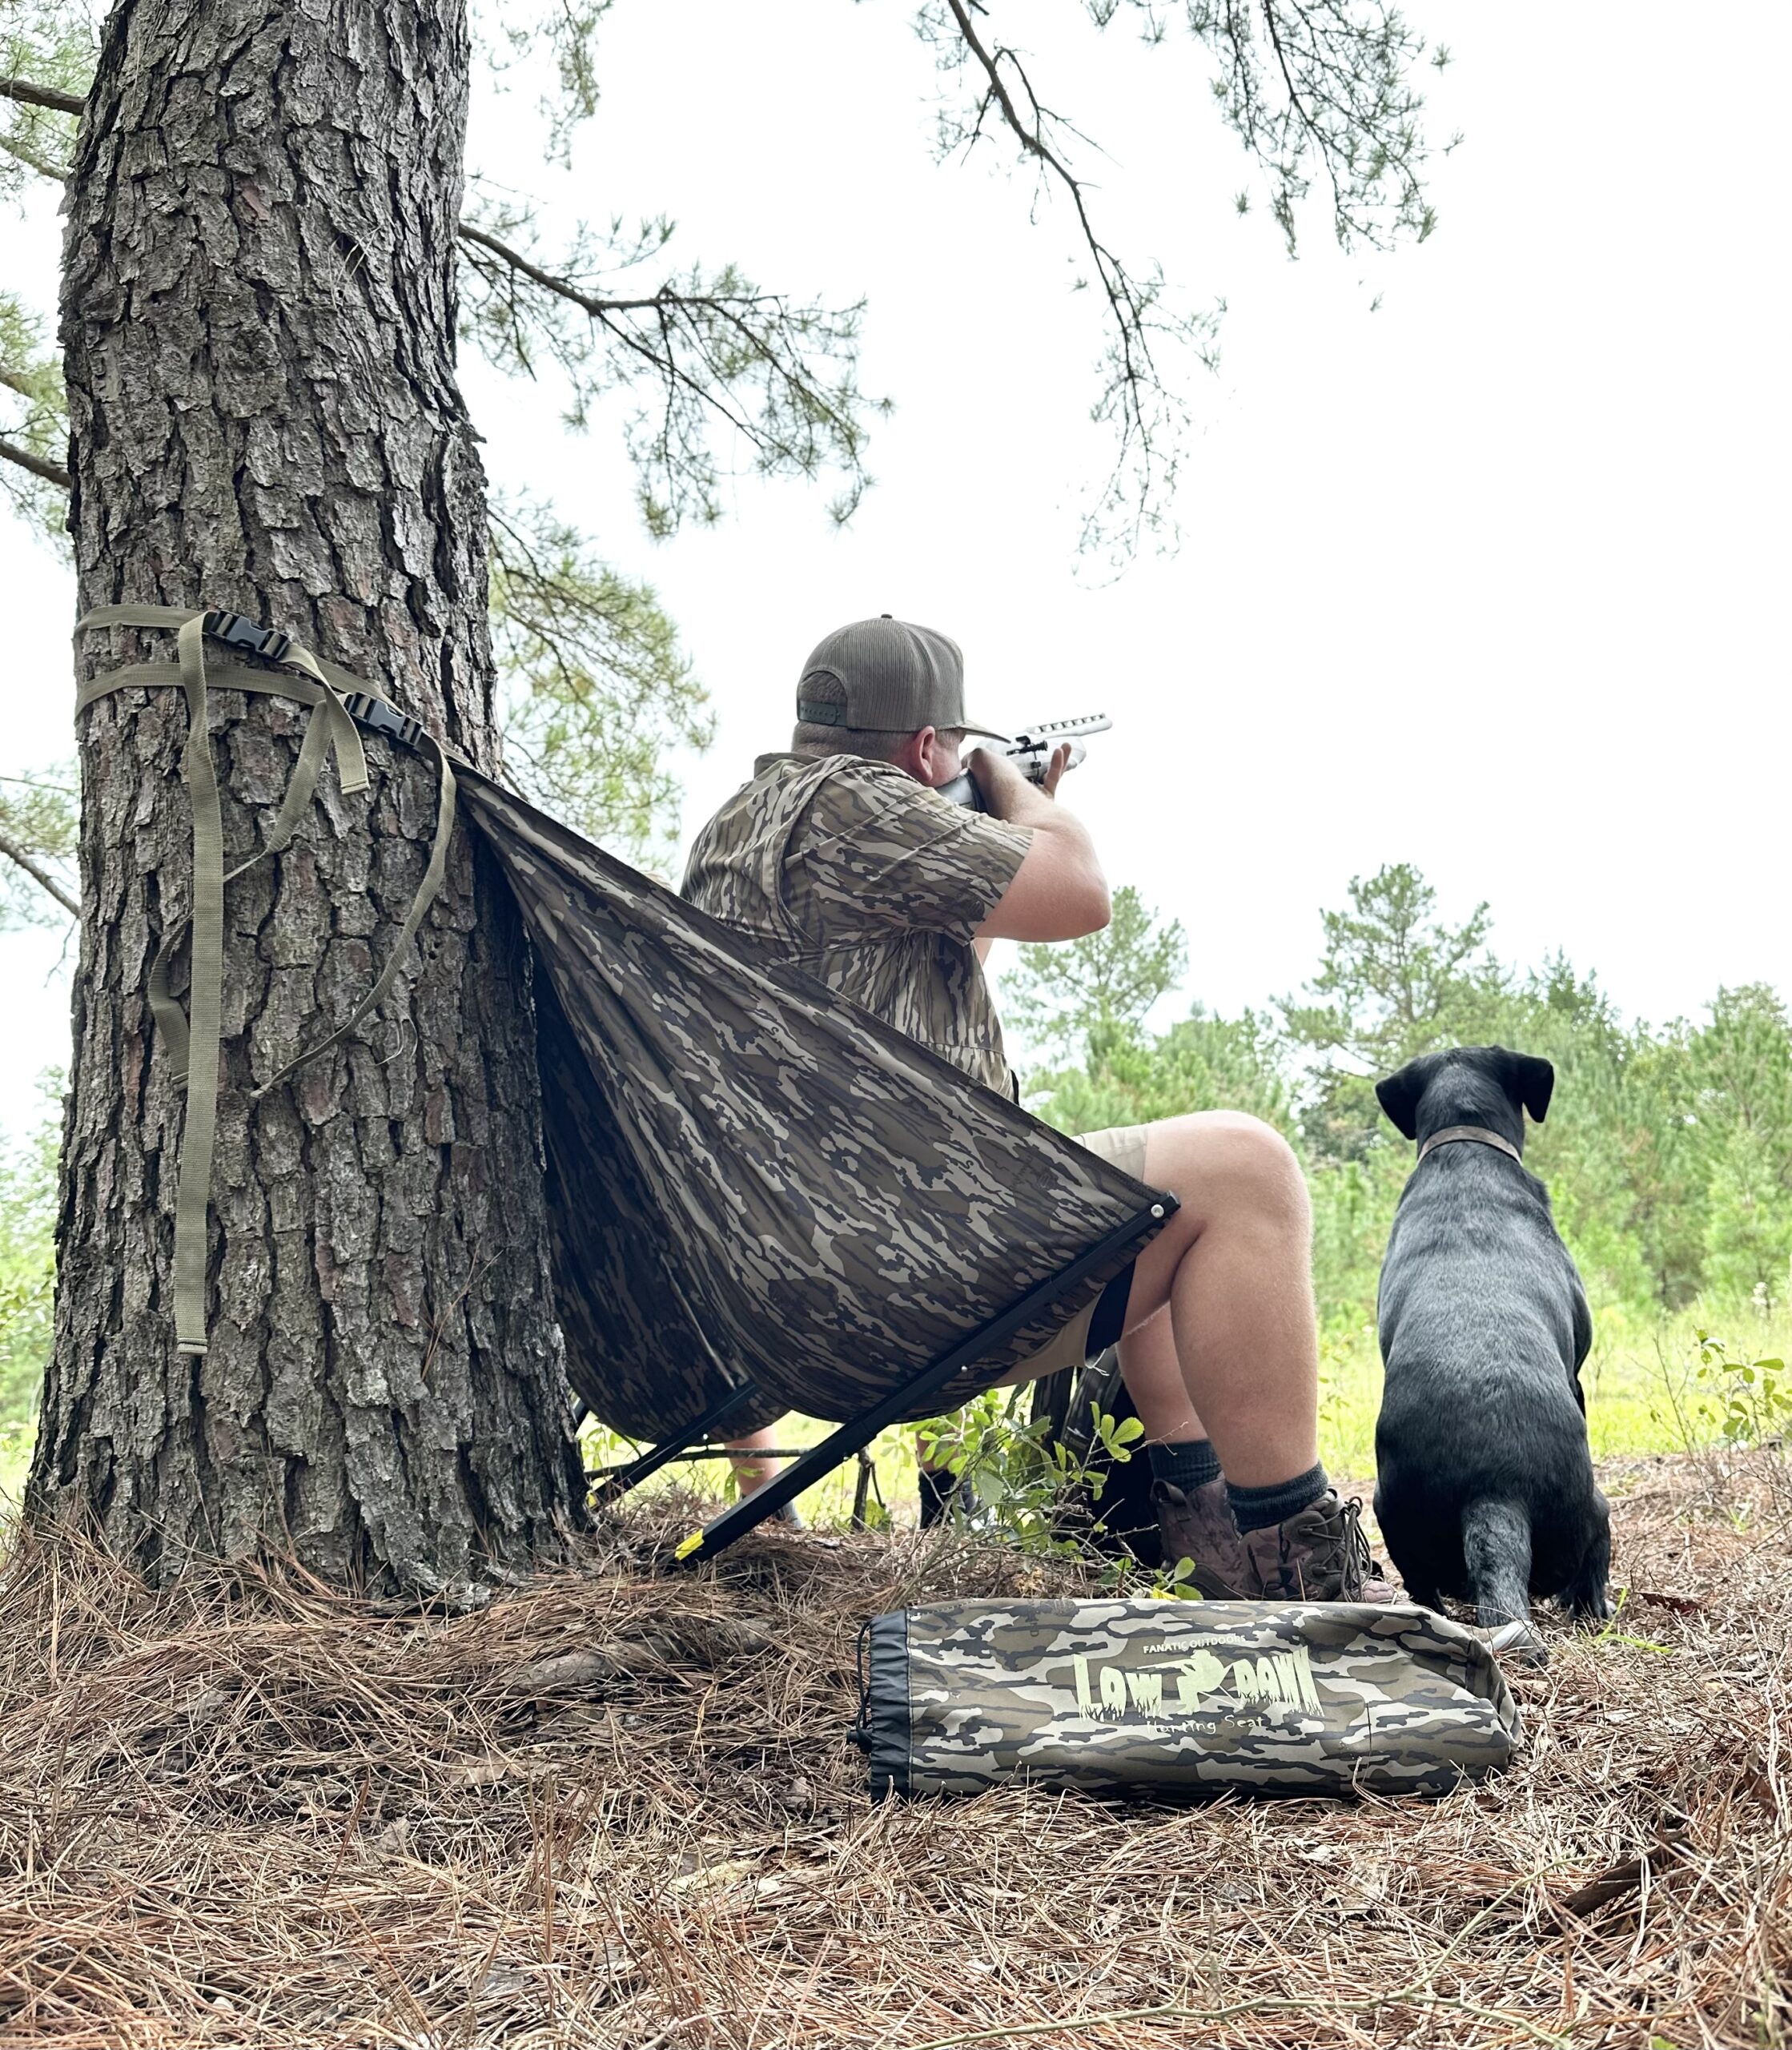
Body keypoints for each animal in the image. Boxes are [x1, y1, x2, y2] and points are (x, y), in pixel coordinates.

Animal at [1369, 1049, 1607, 1656]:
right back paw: (1594, 1605)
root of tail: (1495, 1491)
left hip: (1392, 1515)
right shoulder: (1577, 1370)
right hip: (1588, 1506)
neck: (1464, 1145)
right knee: (1595, 1553)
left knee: (1424, 1587)